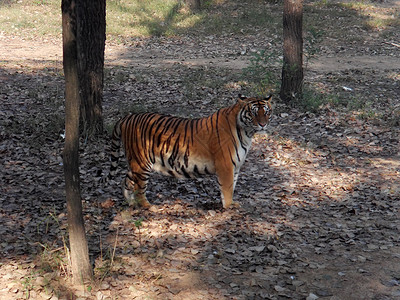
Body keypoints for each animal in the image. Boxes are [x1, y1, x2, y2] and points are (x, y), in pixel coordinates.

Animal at [103, 95, 272, 209]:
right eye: (253, 113)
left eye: (266, 112)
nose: (263, 125)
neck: (247, 133)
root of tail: (127, 117)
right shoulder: (226, 166)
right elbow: (228, 188)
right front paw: (229, 206)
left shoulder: (235, 167)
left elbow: (233, 185)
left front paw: (230, 204)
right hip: (142, 163)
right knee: (139, 188)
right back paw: (147, 206)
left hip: (135, 162)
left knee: (126, 180)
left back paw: (130, 202)